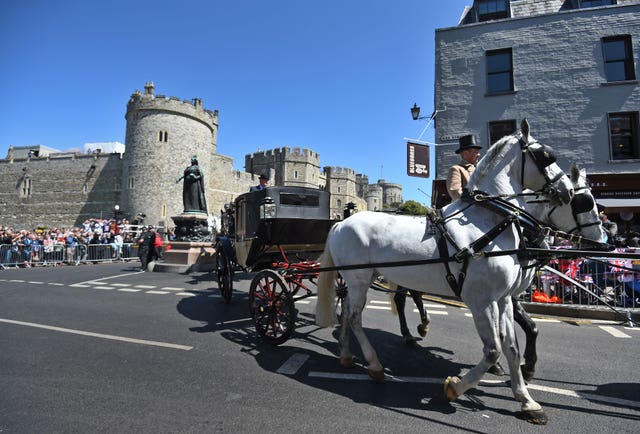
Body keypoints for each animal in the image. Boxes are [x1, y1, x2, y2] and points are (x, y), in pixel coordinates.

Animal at [318, 120, 572, 426]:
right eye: (546, 155)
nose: (568, 191)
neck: (488, 222)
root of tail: (340, 223)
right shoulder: (482, 300)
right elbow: (492, 350)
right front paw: (455, 387)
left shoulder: (503, 299)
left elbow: (511, 348)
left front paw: (526, 400)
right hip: (359, 279)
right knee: (355, 317)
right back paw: (375, 365)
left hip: (356, 279)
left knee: (346, 314)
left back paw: (346, 355)